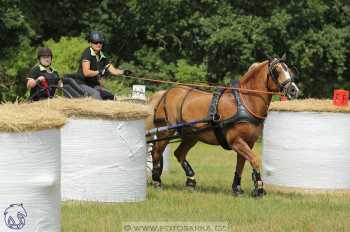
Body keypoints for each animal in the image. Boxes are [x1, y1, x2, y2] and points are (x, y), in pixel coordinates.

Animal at [146, 55, 300, 197]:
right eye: (276, 70)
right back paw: (156, 181)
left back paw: (191, 181)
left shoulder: (248, 142)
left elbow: (241, 164)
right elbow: (254, 160)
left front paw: (237, 188)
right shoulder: (236, 141)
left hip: (191, 136)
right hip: (166, 132)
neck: (245, 102)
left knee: (179, 153)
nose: (294, 90)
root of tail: (165, 93)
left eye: (289, 70)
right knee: (156, 153)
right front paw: (259, 189)